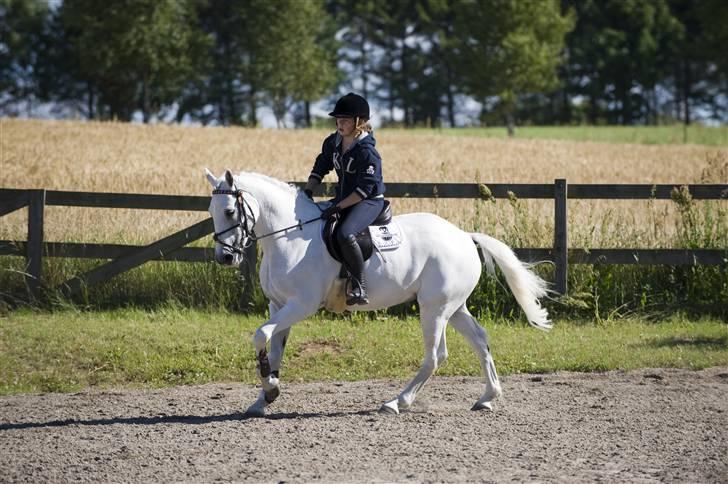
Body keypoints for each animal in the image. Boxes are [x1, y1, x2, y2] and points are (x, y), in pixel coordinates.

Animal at [202, 169, 548, 416]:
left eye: (230, 211)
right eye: (211, 210)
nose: (225, 258)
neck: (289, 235)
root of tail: (464, 236)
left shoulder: (302, 304)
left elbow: (260, 335)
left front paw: (270, 387)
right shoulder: (278, 305)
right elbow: (274, 348)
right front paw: (265, 397)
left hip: (434, 307)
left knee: (435, 356)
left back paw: (397, 402)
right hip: (453, 306)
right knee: (479, 340)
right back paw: (487, 398)